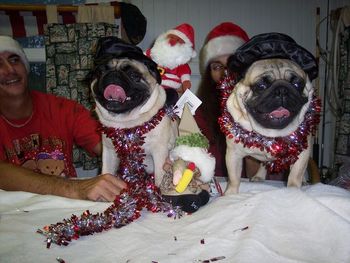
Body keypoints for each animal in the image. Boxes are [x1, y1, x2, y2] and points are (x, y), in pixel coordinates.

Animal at [90, 37, 178, 187]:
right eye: (100, 73)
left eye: (133, 75)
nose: (113, 74)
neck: (126, 124)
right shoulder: (109, 152)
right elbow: (106, 172)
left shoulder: (159, 152)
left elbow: (159, 177)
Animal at [220, 32, 322, 194]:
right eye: (261, 85)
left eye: (297, 83)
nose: (282, 90)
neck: (269, 133)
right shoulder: (233, 154)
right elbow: (234, 177)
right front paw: (230, 194)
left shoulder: (302, 153)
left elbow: (295, 174)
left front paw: (293, 191)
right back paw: (259, 177)